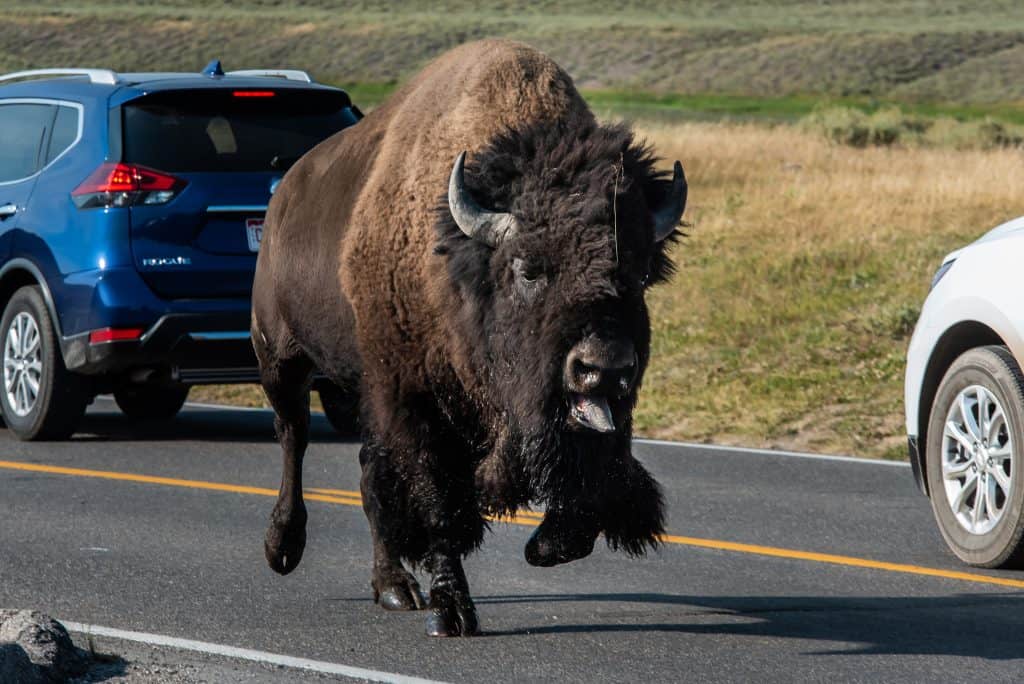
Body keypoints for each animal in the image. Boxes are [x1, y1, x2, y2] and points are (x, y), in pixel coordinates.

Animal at [252, 39, 687, 636]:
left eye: (638, 274)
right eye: (528, 270)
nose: (603, 365)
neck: (461, 264)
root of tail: (285, 194)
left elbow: (590, 483)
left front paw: (544, 546)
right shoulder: (416, 403)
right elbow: (440, 507)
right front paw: (452, 612)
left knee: (368, 476)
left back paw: (394, 588)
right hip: (282, 357)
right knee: (294, 436)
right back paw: (283, 549)